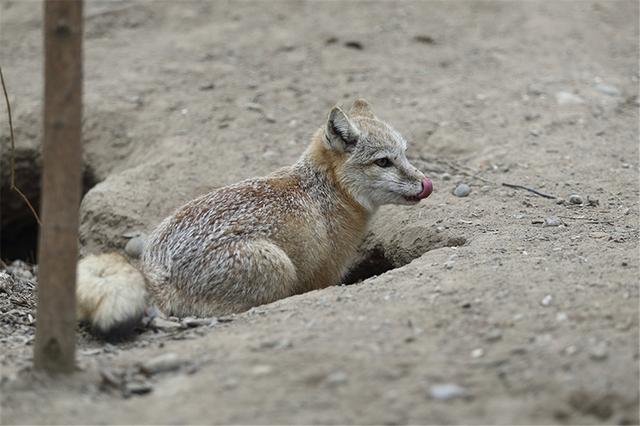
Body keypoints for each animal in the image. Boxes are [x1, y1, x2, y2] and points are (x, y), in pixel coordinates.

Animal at [77, 99, 432, 340]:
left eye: (404, 153)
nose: (426, 183)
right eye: (383, 162)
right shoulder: (324, 274)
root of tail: (157, 270)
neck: (323, 192)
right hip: (278, 265)